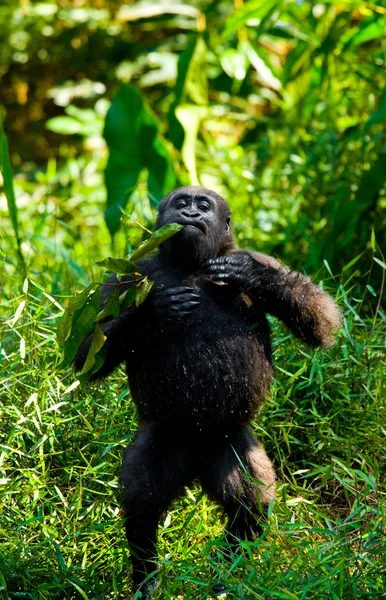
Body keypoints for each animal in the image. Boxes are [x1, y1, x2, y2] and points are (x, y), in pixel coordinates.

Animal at [74, 184, 340, 596]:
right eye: (182, 203)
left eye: (203, 205)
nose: (191, 214)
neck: (193, 267)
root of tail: (196, 460)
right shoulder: (126, 277)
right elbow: (89, 350)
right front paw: (153, 311)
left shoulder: (258, 257)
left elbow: (320, 320)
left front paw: (251, 276)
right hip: (167, 437)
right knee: (142, 506)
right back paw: (147, 577)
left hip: (225, 441)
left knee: (250, 507)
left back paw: (225, 573)